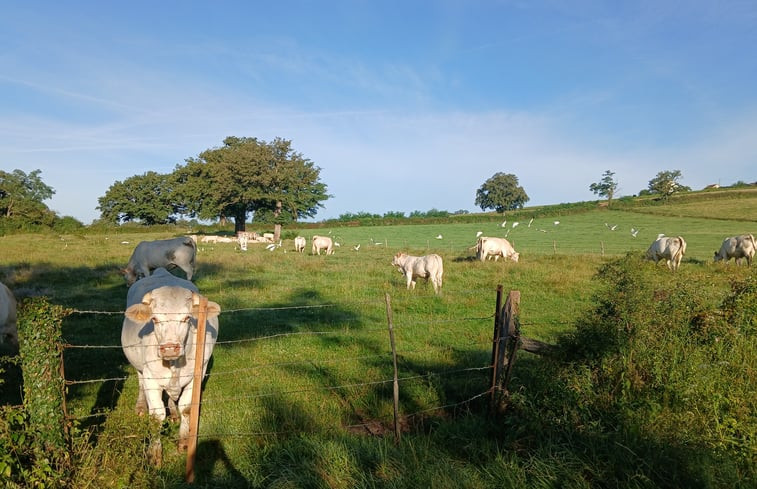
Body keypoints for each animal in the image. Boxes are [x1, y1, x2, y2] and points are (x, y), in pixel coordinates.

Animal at [121, 266, 220, 450]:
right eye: (154, 319)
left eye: (187, 318)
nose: (169, 348)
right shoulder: (150, 376)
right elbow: (156, 415)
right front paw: (155, 452)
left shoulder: (198, 374)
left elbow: (186, 408)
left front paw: (184, 442)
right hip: (138, 366)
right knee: (140, 383)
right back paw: (140, 406)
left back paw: (173, 412)